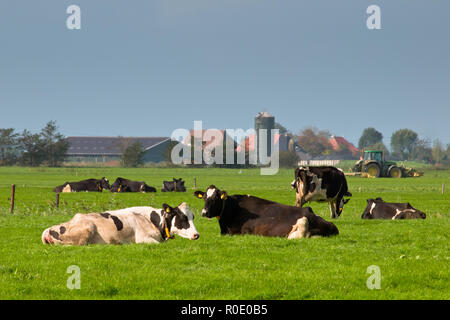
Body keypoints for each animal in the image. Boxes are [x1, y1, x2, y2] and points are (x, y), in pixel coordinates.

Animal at [41, 202, 200, 245]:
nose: (196, 235)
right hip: (86, 230)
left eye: (193, 216)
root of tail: (48, 230)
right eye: (183, 217)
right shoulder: (142, 239)